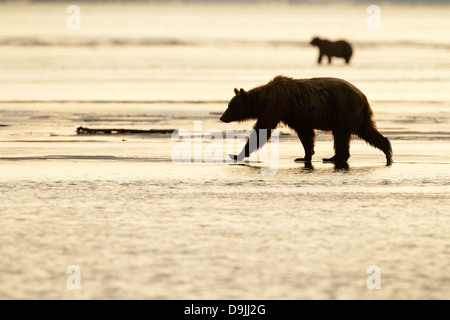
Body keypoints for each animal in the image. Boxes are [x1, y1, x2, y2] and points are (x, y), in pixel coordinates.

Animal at [220, 76, 392, 164]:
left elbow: (263, 129)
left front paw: (236, 154)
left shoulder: (276, 106)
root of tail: (363, 96)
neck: (263, 99)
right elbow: (306, 134)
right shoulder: (296, 116)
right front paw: (304, 155)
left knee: (341, 135)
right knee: (367, 131)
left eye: (231, 106)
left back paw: (333, 157)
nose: (222, 117)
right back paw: (387, 149)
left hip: (343, 110)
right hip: (357, 115)